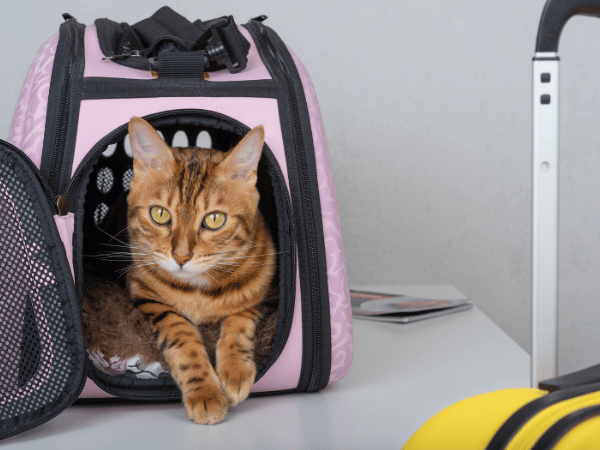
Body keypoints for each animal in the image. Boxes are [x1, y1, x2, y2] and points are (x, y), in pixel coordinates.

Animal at [83, 117, 278, 426]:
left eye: (215, 219)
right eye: (159, 214)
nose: (181, 257)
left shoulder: (266, 292)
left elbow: (239, 319)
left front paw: (235, 371)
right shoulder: (146, 294)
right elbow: (182, 335)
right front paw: (205, 392)